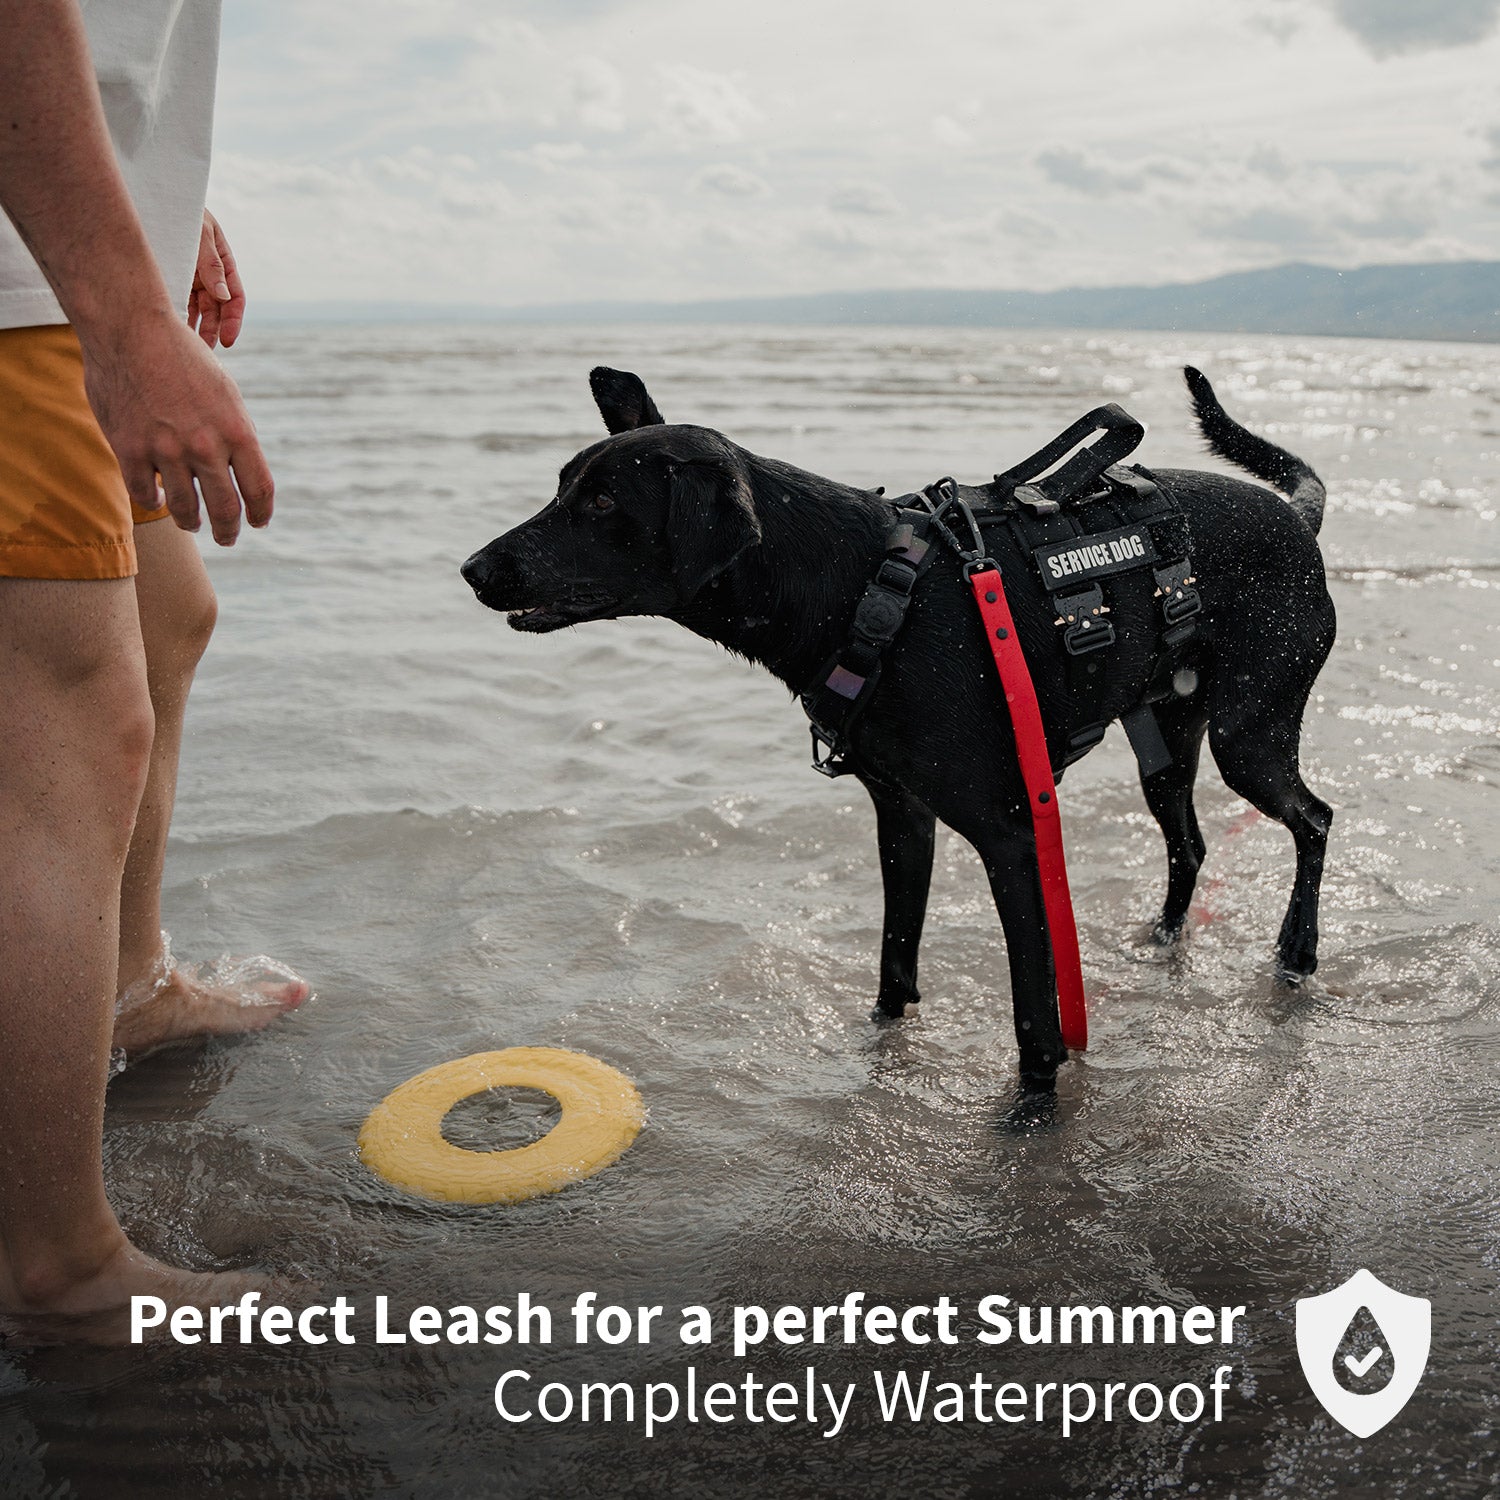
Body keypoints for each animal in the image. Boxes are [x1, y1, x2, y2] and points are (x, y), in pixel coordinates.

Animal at [459, 366, 1338, 1092]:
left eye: (604, 504)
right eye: (563, 487)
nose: (472, 569)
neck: (864, 590)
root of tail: (1299, 519)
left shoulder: (1013, 832)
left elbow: (1034, 1009)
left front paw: (1032, 1111)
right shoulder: (902, 816)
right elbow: (894, 961)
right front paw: (876, 1049)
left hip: (1248, 736)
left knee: (1316, 819)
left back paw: (1296, 952)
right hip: (1164, 739)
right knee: (1189, 840)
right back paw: (1163, 939)